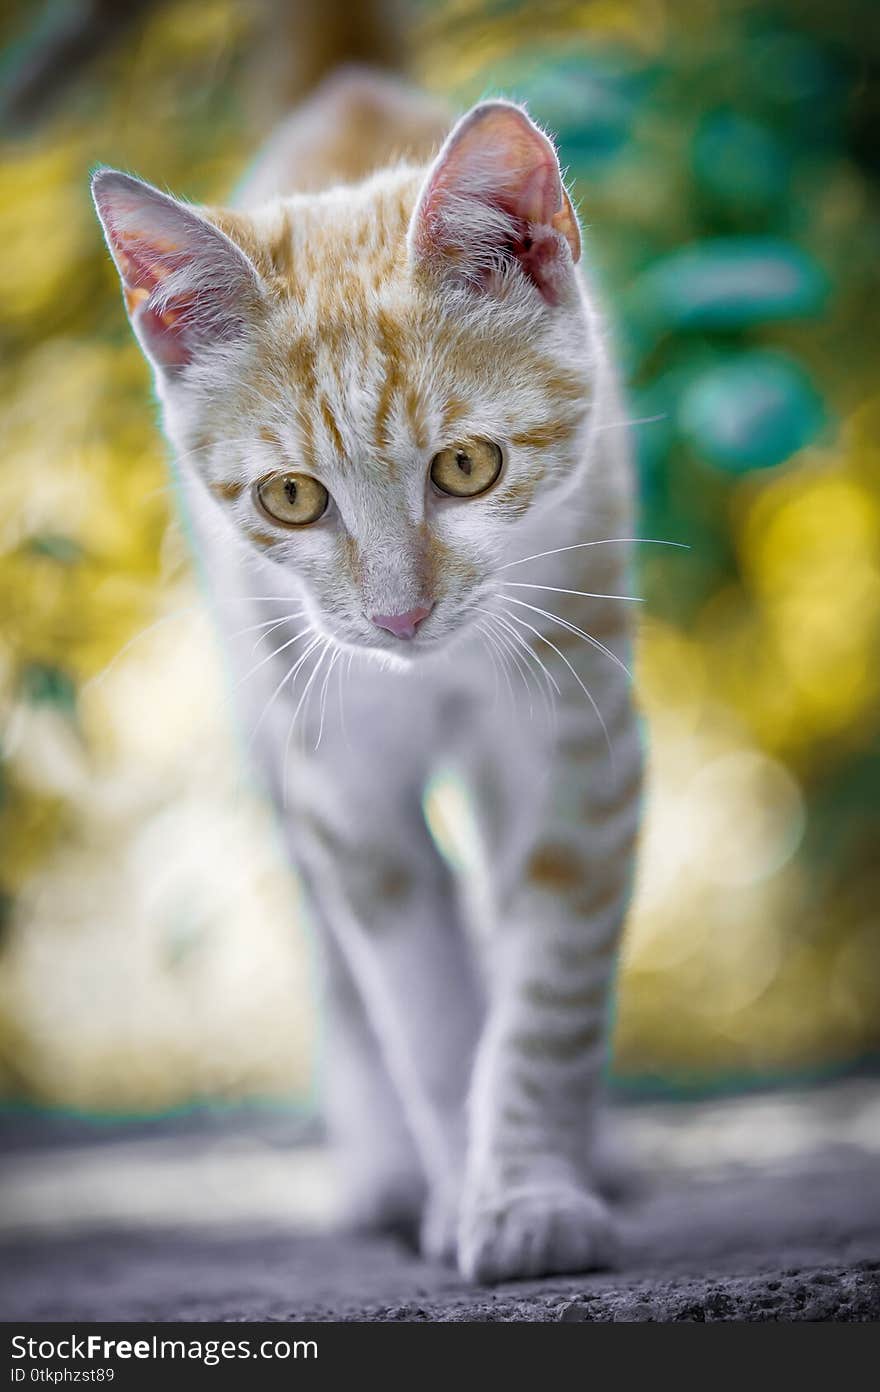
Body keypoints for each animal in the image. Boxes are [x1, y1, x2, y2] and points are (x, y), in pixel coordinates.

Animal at [92, 65, 643, 1280]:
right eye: (292, 497)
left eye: (468, 467)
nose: (398, 614)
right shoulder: (338, 777)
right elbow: (420, 1007)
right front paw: (456, 1191)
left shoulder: (578, 742)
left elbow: (548, 990)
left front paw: (527, 1192)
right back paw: (389, 1174)